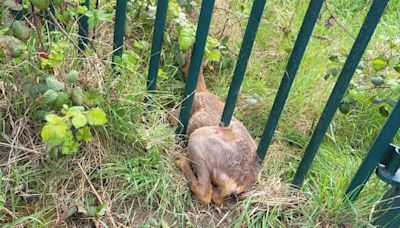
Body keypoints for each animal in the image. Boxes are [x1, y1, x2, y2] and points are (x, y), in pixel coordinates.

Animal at [173, 54, 262, 207]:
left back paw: (181, 161)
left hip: (198, 138)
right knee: (217, 197)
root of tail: (237, 183)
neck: (202, 90)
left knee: (205, 193)